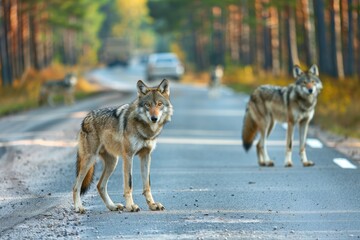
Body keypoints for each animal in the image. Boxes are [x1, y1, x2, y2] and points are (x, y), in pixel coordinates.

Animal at [73, 79, 173, 214]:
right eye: (147, 105)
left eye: (159, 104)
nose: (154, 118)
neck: (144, 128)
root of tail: (85, 118)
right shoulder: (128, 156)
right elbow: (129, 184)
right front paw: (131, 206)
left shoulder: (146, 156)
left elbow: (147, 185)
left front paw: (152, 205)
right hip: (90, 160)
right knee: (76, 186)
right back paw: (79, 207)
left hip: (112, 162)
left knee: (100, 186)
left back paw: (112, 206)